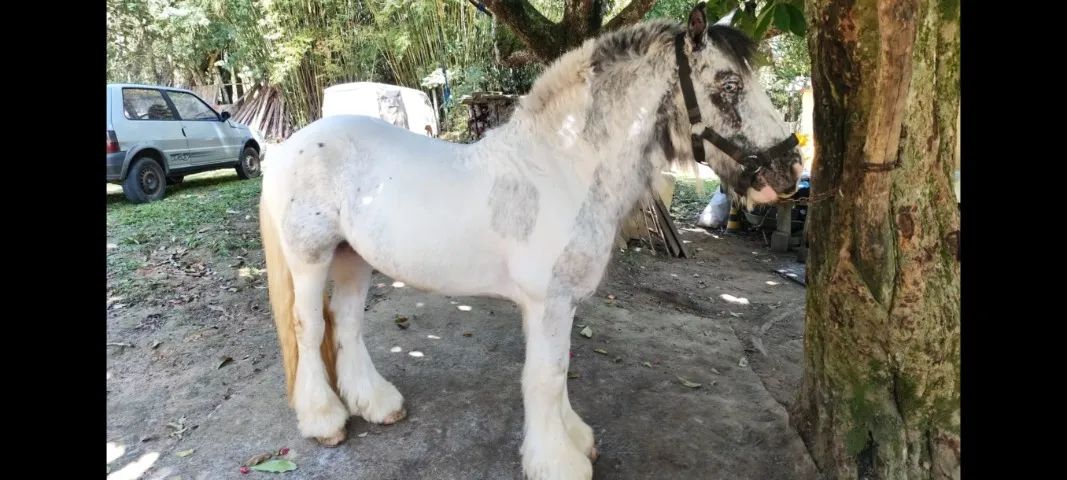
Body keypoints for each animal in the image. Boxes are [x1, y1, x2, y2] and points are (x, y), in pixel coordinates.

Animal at [258, 4, 802, 478]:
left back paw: (375, 404)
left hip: (353, 257)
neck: (562, 169)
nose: (789, 169)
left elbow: (558, 372)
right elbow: (544, 377)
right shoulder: (548, 301)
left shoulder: (561, 304)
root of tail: (290, 147)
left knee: (346, 323)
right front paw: (558, 462)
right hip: (311, 258)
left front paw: (575, 440)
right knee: (310, 327)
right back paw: (324, 420)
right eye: (729, 84)